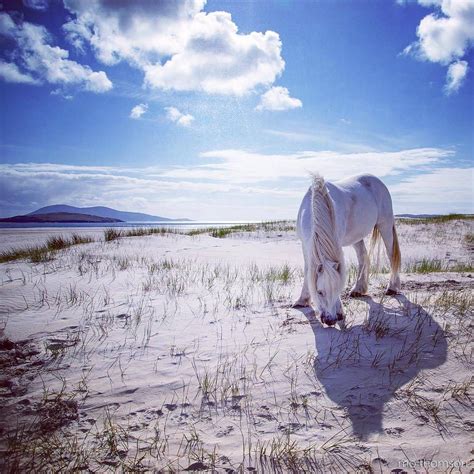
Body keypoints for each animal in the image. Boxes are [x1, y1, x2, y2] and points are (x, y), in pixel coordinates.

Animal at [296, 174, 400, 326]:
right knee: (363, 256)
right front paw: (302, 300)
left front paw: (340, 311)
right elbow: (307, 269)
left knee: (391, 254)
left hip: (385, 225)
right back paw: (358, 289)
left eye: (337, 290)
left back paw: (392, 287)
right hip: (357, 237)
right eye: (319, 292)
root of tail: (376, 180)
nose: (330, 320)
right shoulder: (305, 245)